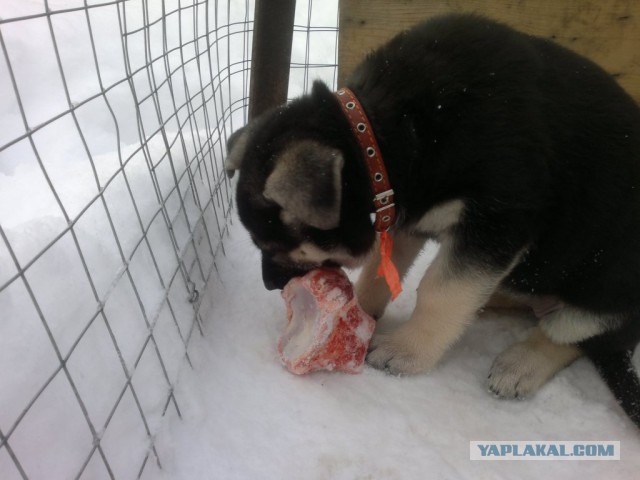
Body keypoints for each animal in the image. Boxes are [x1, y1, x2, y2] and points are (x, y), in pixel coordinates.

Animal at [224, 14, 640, 428]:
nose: (270, 285)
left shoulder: (496, 221)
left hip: (602, 301)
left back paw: (521, 363)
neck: (381, 133)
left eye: (273, 245)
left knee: (579, 336)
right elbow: (380, 268)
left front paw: (407, 350)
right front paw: (360, 311)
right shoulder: (405, 214)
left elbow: (441, 292)